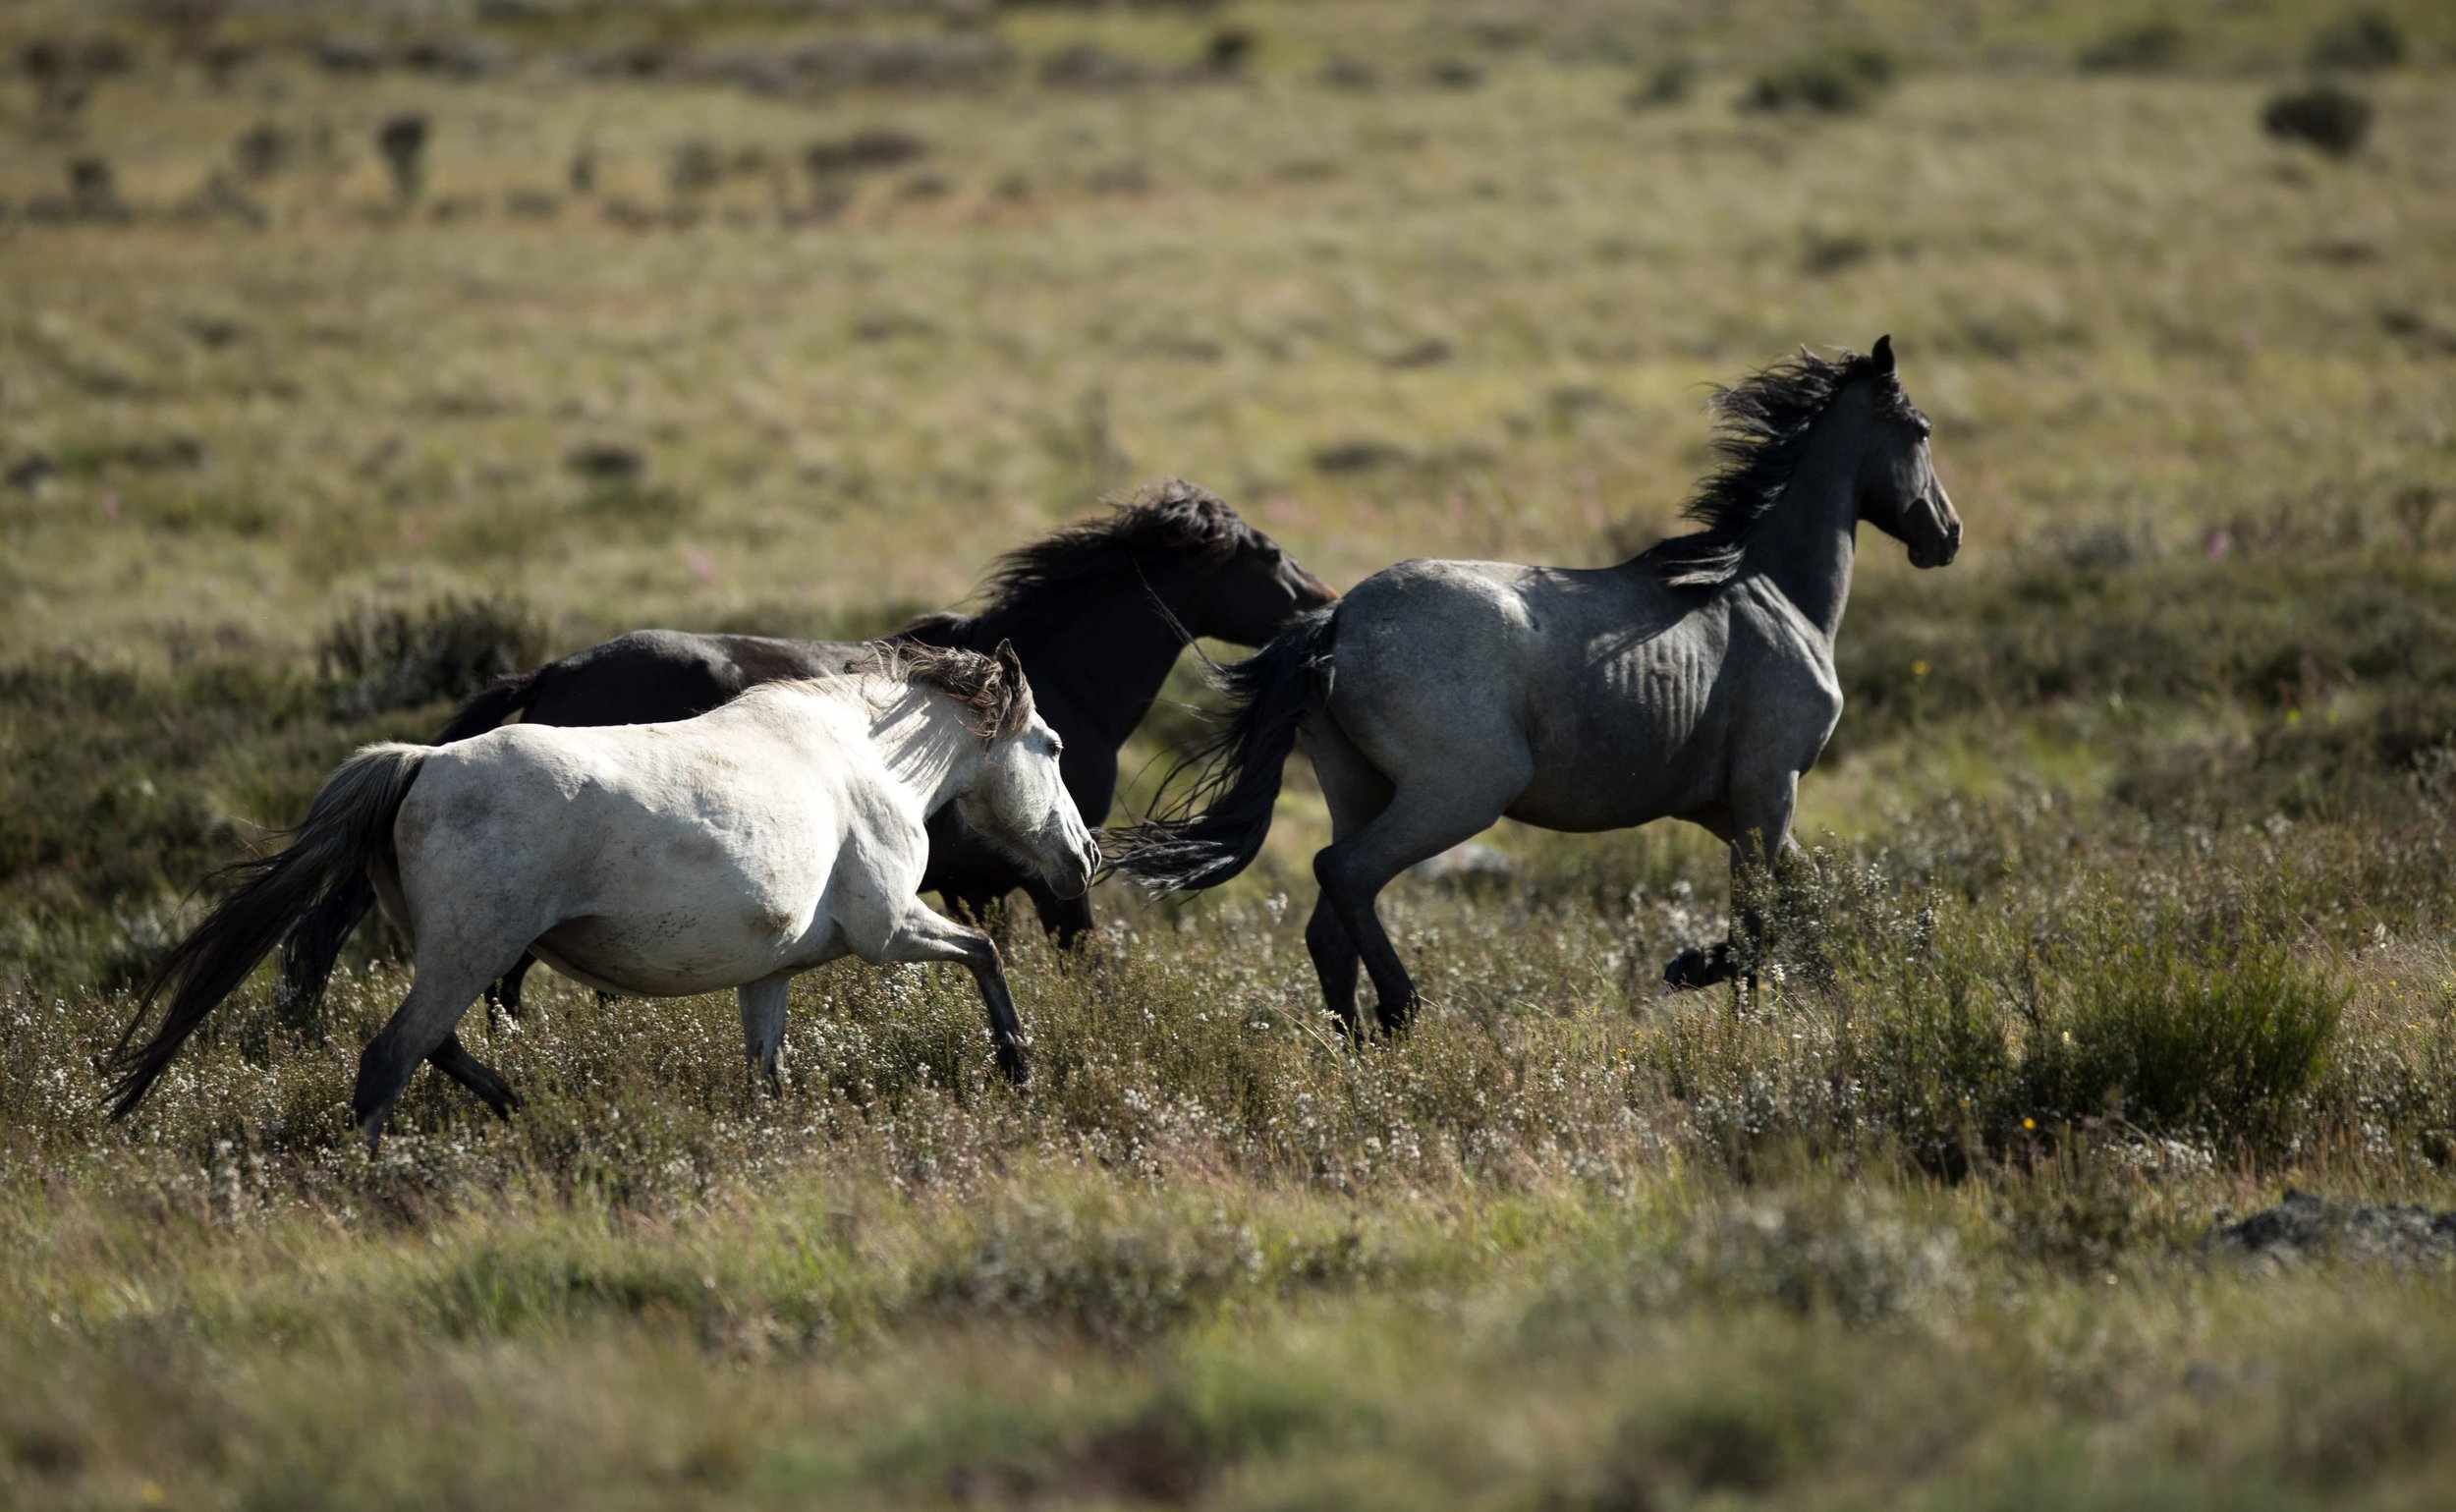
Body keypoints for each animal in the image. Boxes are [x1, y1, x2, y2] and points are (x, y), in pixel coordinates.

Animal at [115, 643, 1095, 1144]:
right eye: (1050, 745)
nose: (1083, 856)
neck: (867, 757)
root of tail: (421, 762)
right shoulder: (889, 929)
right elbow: (986, 951)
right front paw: (1017, 1062)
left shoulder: (768, 975)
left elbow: (768, 1074)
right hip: (471, 951)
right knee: (387, 1060)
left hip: (466, 955)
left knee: (435, 1045)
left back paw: (518, 1106)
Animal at [278, 480, 1336, 1026]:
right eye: (1263, 554)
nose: (1324, 601)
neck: (1057, 674)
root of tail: (556, 670)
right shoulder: (1050, 880)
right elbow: (1089, 966)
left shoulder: (968, 885)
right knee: (502, 983)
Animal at [1125, 336, 1955, 1036]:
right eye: (1920, 430)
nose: (1947, 536)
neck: (1768, 592)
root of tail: (1337, 622)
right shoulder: (1768, 785)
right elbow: (1759, 916)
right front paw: (1703, 980)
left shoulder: (1725, 804)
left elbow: (1795, 897)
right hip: (1459, 792)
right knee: (1344, 873)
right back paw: (1402, 1009)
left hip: (1360, 788)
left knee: (1327, 923)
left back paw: (1358, 1047)